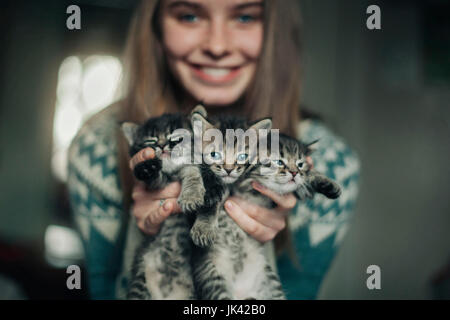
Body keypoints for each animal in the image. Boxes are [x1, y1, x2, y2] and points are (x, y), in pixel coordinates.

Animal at [123, 105, 207, 300]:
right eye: (151, 141)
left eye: (176, 137)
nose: (161, 145)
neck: (172, 173)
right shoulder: (157, 184)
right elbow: (154, 179)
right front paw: (146, 168)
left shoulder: (190, 167)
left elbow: (192, 172)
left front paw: (191, 196)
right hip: (140, 282)